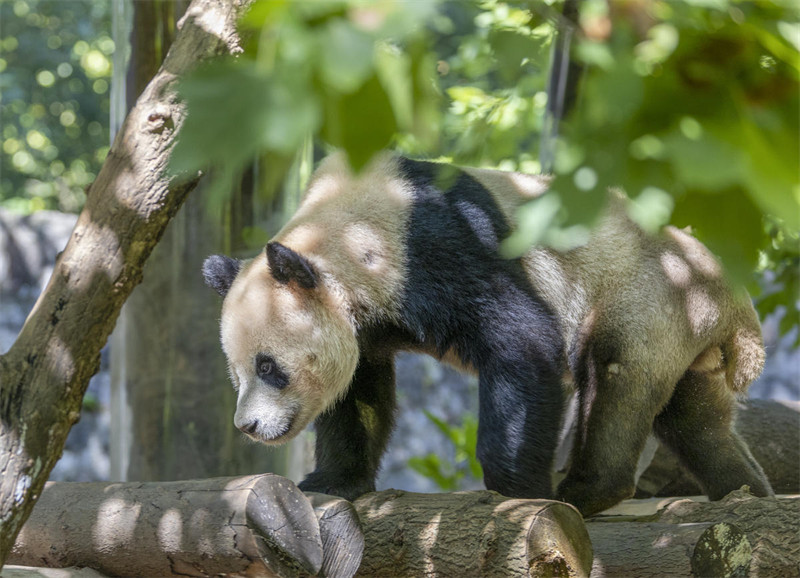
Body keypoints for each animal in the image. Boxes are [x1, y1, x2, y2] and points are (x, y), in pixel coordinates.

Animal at [203, 151, 772, 516]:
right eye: (235, 372)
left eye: (269, 367)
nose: (248, 426)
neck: (336, 232)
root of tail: (735, 308)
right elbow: (356, 391)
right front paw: (332, 481)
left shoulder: (434, 244)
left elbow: (520, 339)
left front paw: (516, 488)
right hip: (687, 324)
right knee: (693, 419)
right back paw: (744, 489)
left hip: (646, 294)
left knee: (616, 377)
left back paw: (583, 492)